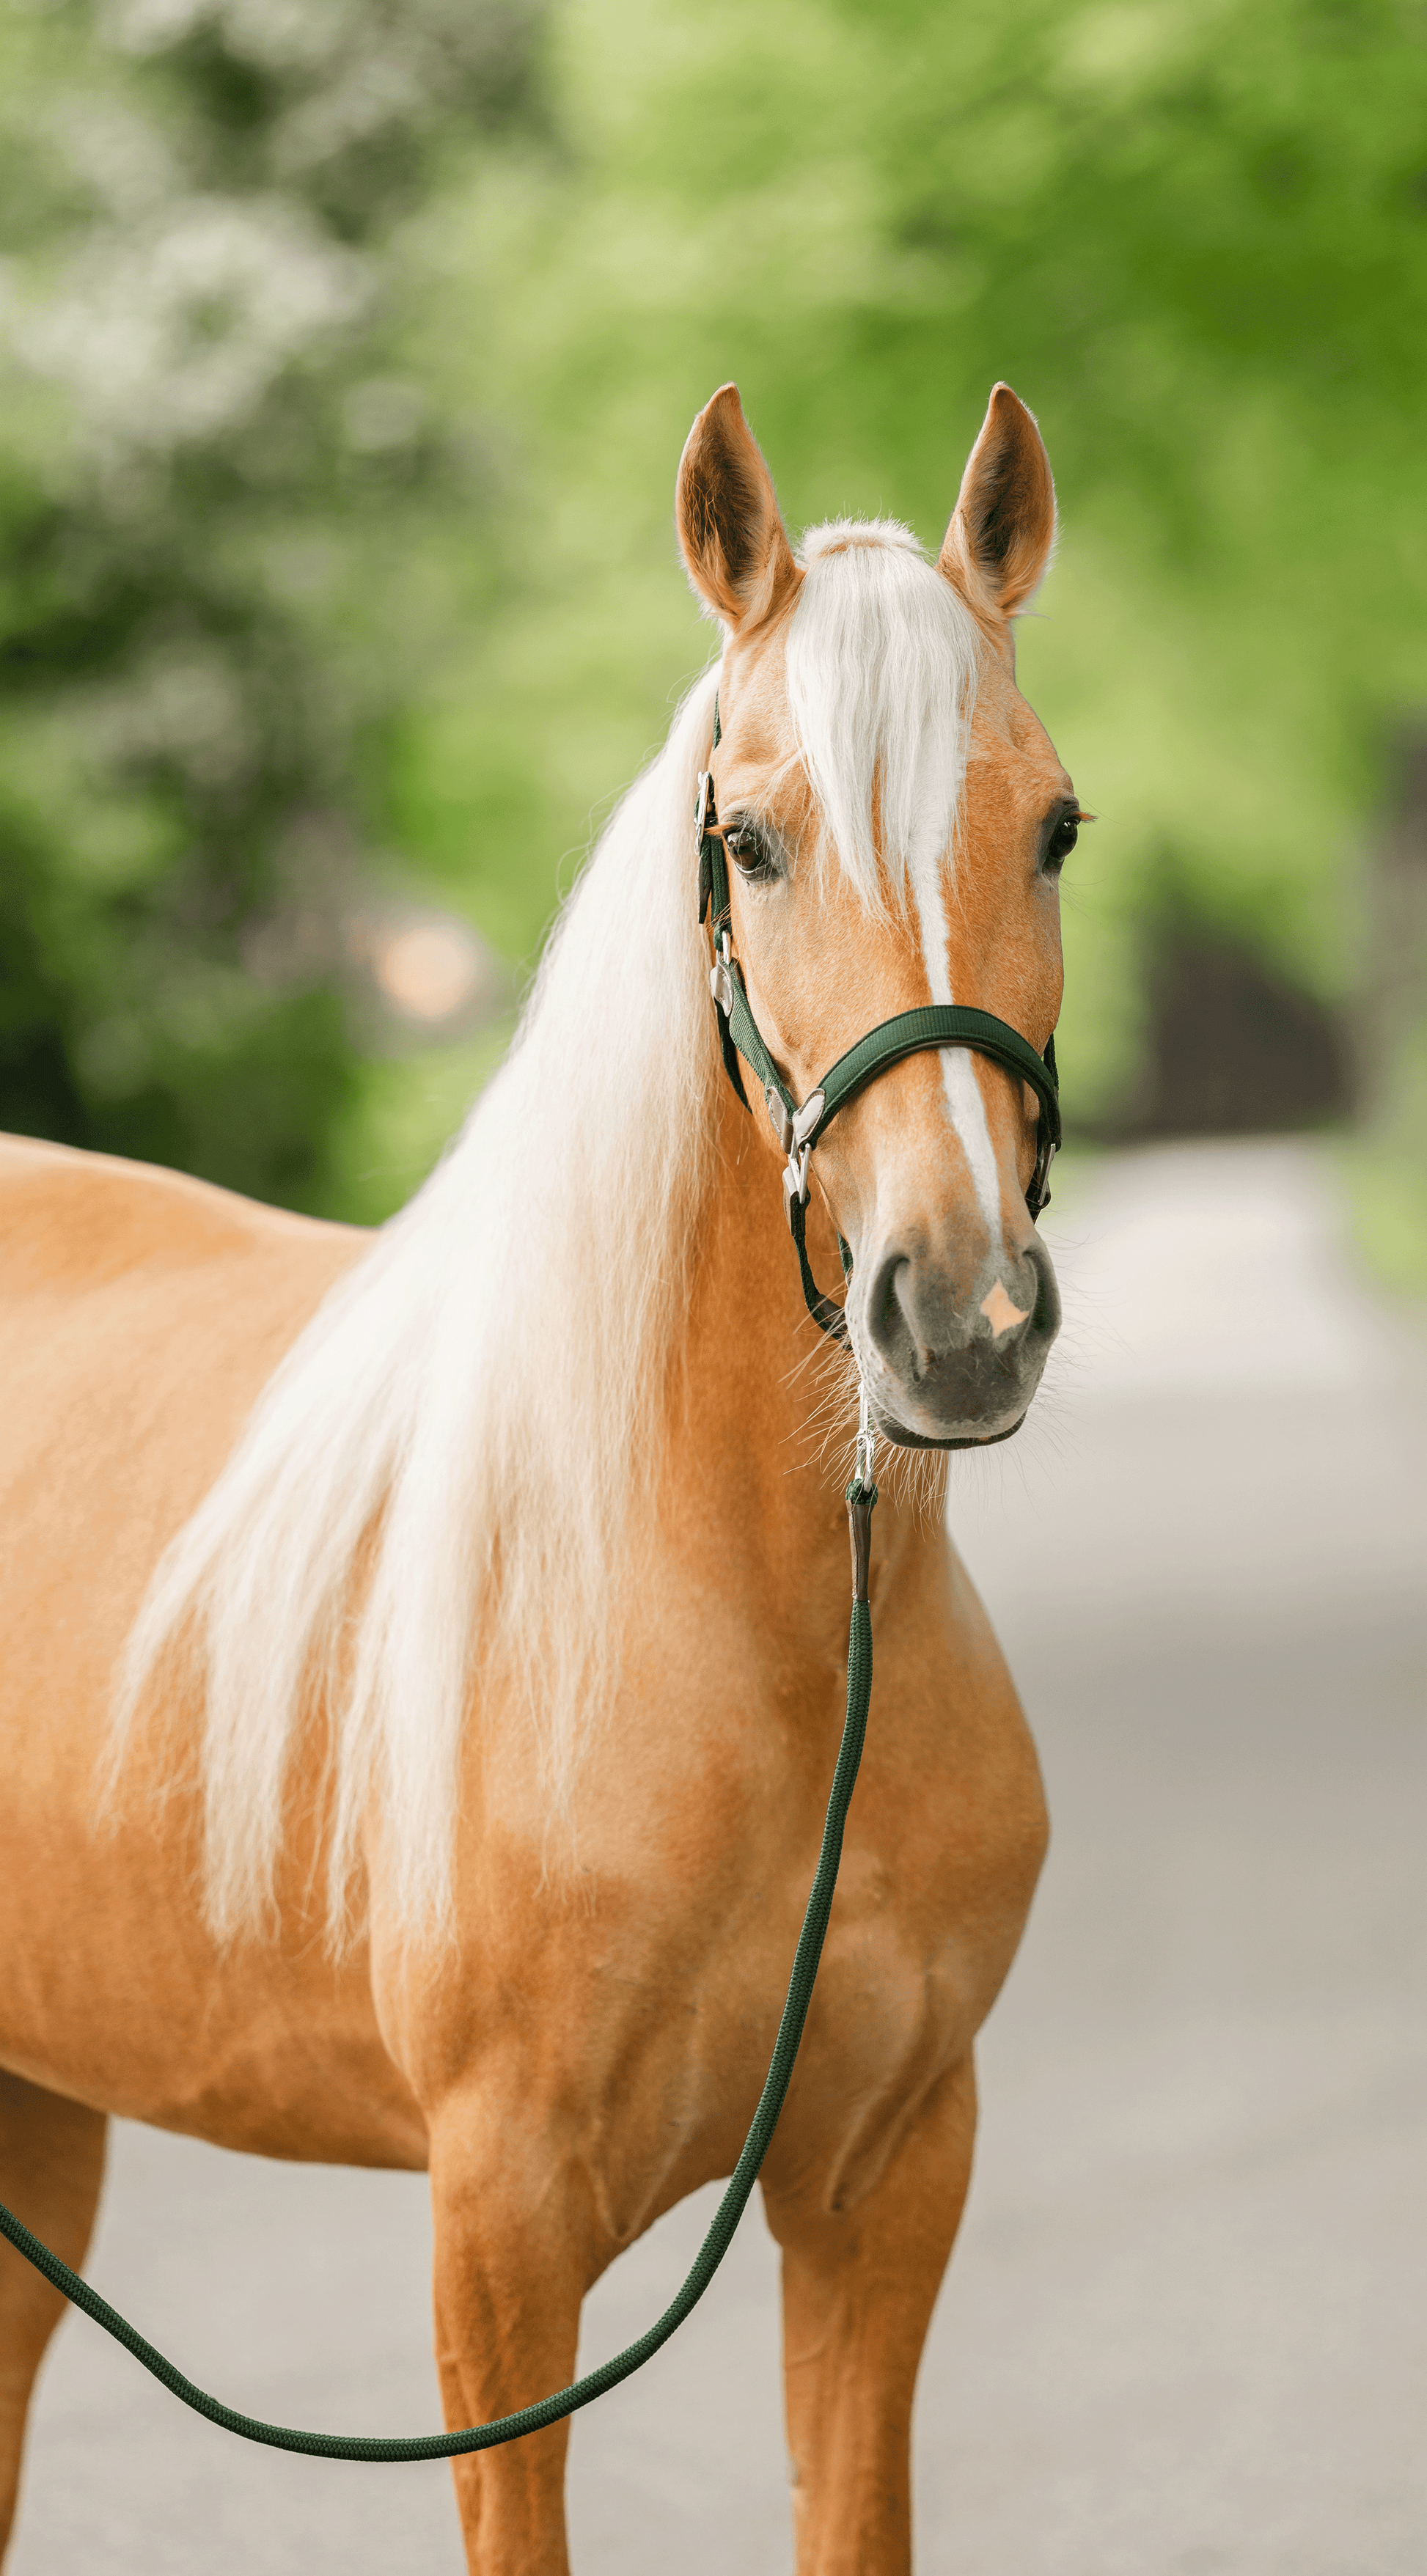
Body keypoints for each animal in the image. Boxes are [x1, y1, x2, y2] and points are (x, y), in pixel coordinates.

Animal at [0, 378, 1082, 2573]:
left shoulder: (886, 2189)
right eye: (747, 839)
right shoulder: (499, 2242)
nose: (961, 1319)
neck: (751, 1640)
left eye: (1058, 824)